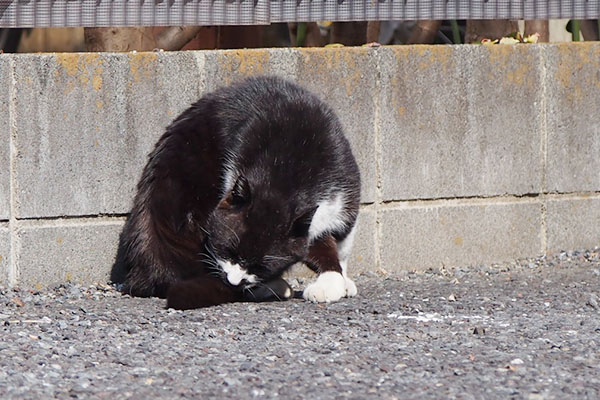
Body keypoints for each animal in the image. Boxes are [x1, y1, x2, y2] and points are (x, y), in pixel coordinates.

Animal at [115, 76, 364, 310]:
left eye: (260, 265)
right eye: (228, 250)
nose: (233, 281)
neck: (289, 168)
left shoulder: (343, 193)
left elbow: (337, 244)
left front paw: (337, 279)